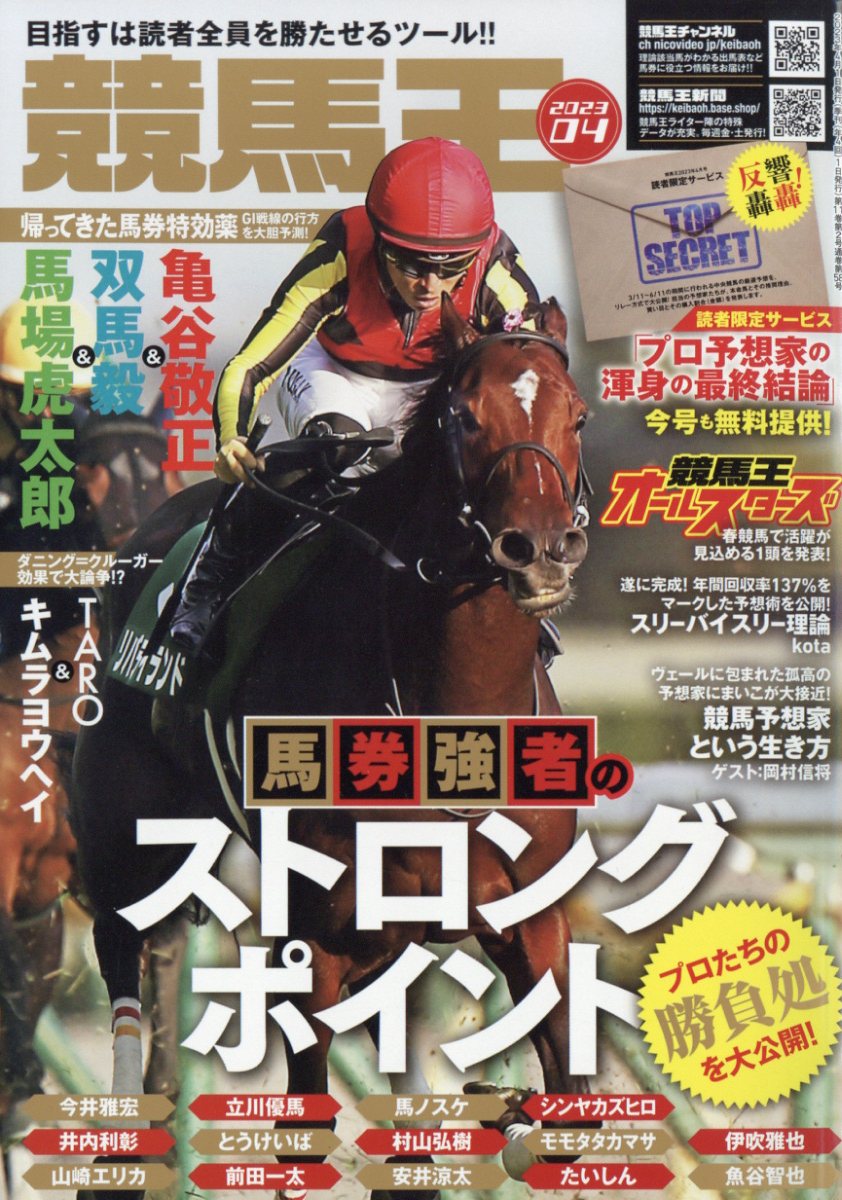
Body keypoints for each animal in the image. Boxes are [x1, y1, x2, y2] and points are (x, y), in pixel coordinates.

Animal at [71, 296, 592, 1197]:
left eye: (579, 415)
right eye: (464, 416)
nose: (540, 550)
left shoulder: (532, 921)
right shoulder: (313, 939)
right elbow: (300, 1128)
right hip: (125, 834)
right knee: (122, 944)